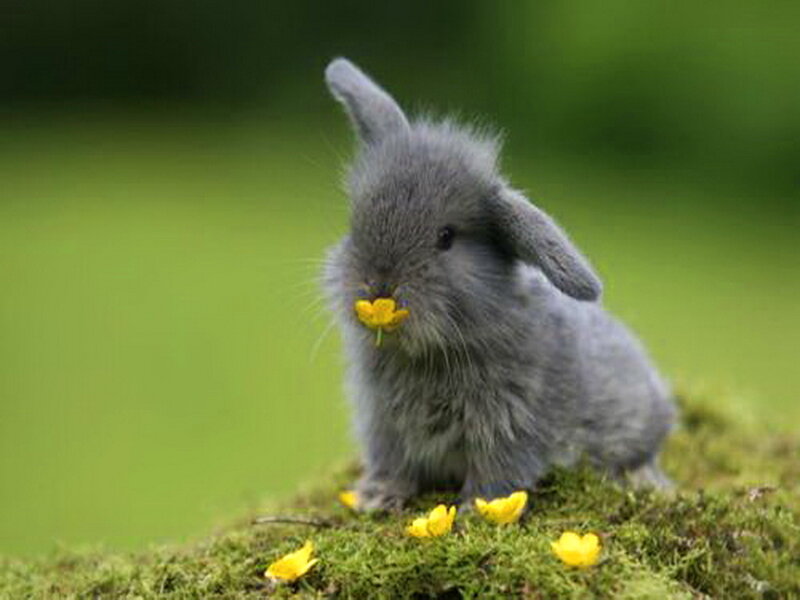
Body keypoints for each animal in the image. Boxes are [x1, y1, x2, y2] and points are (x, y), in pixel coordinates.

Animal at [322, 58, 676, 512]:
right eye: (356, 223)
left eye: (446, 237)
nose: (378, 285)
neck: (431, 353)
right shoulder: (384, 425)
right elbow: (394, 463)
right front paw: (375, 496)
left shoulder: (510, 425)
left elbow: (498, 471)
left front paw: (476, 509)